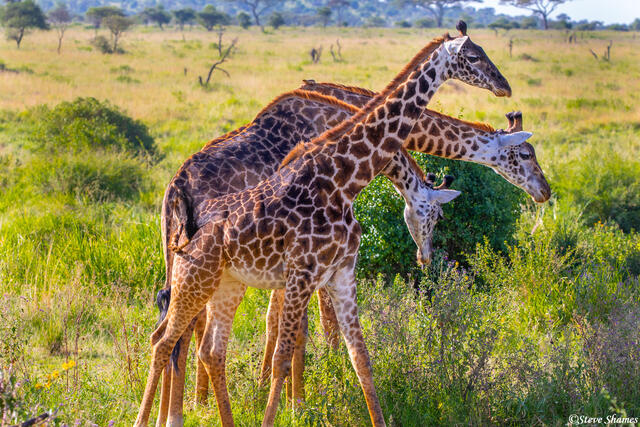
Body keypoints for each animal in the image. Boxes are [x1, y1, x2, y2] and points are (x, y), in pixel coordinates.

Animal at [135, 34, 535, 427]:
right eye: (526, 155)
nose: (503, 86)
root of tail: (175, 188)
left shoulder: (320, 268)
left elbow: (331, 344)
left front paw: (297, 396)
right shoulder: (305, 266)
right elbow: (304, 331)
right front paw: (304, 399)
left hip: (196, 265)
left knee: (179, 332)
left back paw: (176, 411)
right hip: (201, 270)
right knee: (175, 335)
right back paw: (173, 415)